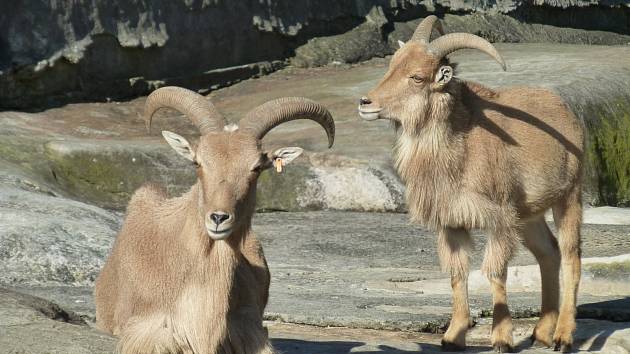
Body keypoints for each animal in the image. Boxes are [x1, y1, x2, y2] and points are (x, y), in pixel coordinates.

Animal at [358, 16, 584, 354]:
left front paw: (501, 339)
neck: (460, 146)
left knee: (571, 257)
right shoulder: (452, 222)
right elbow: (457, 272)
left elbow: (494, 272)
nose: (365, 102)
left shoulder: (499, 219)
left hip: (569, 197)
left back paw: (562, 336)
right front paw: (453, 336)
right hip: (528, 214)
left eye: (417, 77)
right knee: (549, 252)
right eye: (392, 66)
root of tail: (566, 111)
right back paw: (542, 332)